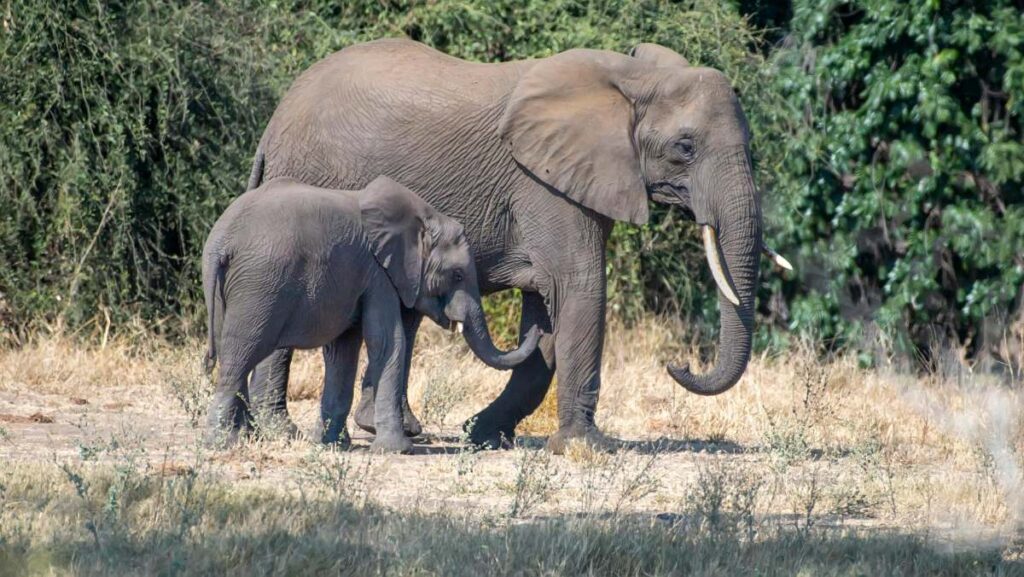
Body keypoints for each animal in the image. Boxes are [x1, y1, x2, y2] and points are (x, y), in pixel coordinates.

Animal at [202, 175, 540, 453]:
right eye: (457, 275)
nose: (539, 325)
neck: (421, 217)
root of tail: (222, 241)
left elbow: (343, 350)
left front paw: (333, 445)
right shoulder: (379, 273)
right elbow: (388, 341)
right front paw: (397, 450)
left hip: (227, 289)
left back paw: (243, 438)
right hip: (260, 285)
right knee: (240, 354)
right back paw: (222, 443)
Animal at [244, 39, 790, 453]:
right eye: (685, 148)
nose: (679, 364)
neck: (631, 77)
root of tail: (273, 125)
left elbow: (547, 312)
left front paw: (482, 435)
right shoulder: (543, 184)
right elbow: (578, 290)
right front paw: (589, 447)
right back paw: (281, 430)